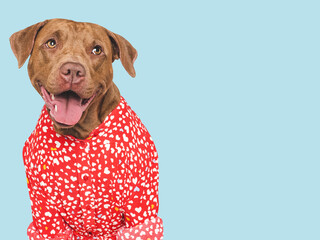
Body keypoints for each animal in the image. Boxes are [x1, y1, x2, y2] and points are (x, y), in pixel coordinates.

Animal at [10, 19, 162, 240]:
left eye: (97, 50)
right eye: (51, 43)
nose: (73, 70)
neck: (81, 133)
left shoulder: (141, 209)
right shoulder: (46, 215)